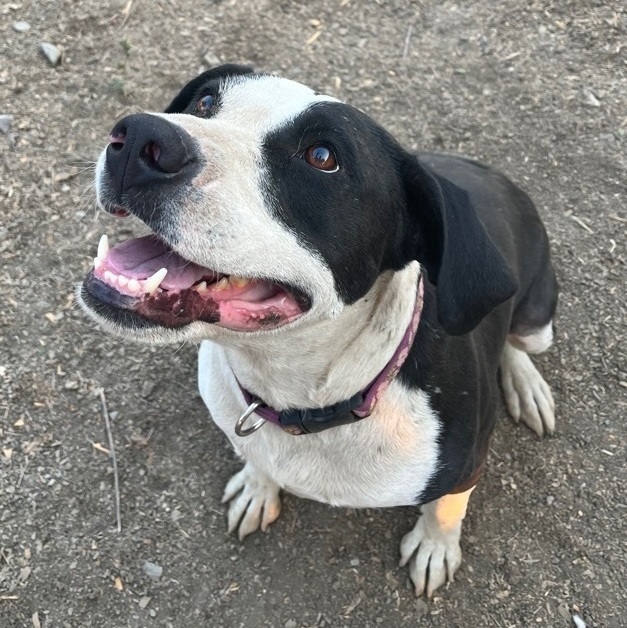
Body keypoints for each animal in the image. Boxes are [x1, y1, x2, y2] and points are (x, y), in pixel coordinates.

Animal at [79, 65, 560, 600]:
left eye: (322, 157)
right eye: (204, 103)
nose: (140, 135)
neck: (304, 398)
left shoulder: (467, 463)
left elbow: (447, 508)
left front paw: (435, 546)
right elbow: (257, 459)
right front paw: (257, 485)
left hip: (536, 316)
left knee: (519, 342)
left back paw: (527, 385)